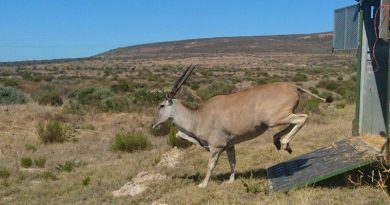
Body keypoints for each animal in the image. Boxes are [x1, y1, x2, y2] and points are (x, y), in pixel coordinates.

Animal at [152, 65, 332, 187]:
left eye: (161, 105)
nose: (153, 123)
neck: (198, 116)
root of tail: (294, 87)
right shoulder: (229, 146)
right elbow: (233, 162)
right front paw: (231, 181)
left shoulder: (216, 147)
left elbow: (211, 166)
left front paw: (203, 184)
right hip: (278, 119)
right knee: (293, 122)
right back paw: (278, 141)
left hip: (276, 118)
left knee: (302, 118)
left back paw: (285, 142)